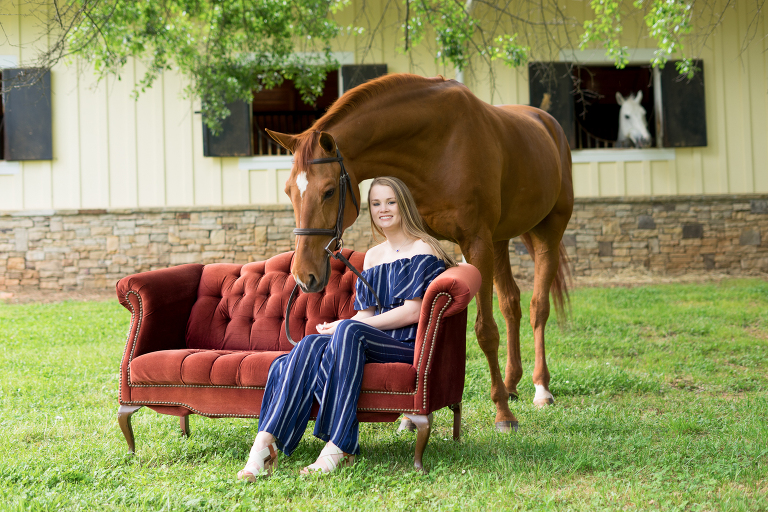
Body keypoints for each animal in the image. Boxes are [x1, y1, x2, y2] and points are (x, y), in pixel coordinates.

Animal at [268, 73, 572, 432]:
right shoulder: (433, 240)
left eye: (328, 191)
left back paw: (541, 389)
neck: (440, 143)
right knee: (512, 304)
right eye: (289, 191)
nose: (304, 275)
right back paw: (511, 384)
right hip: (501, 240)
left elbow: (485, 331)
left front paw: (502, 414)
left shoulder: (476, 242)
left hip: (546, 233)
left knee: (539, 307)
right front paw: (411, 417)